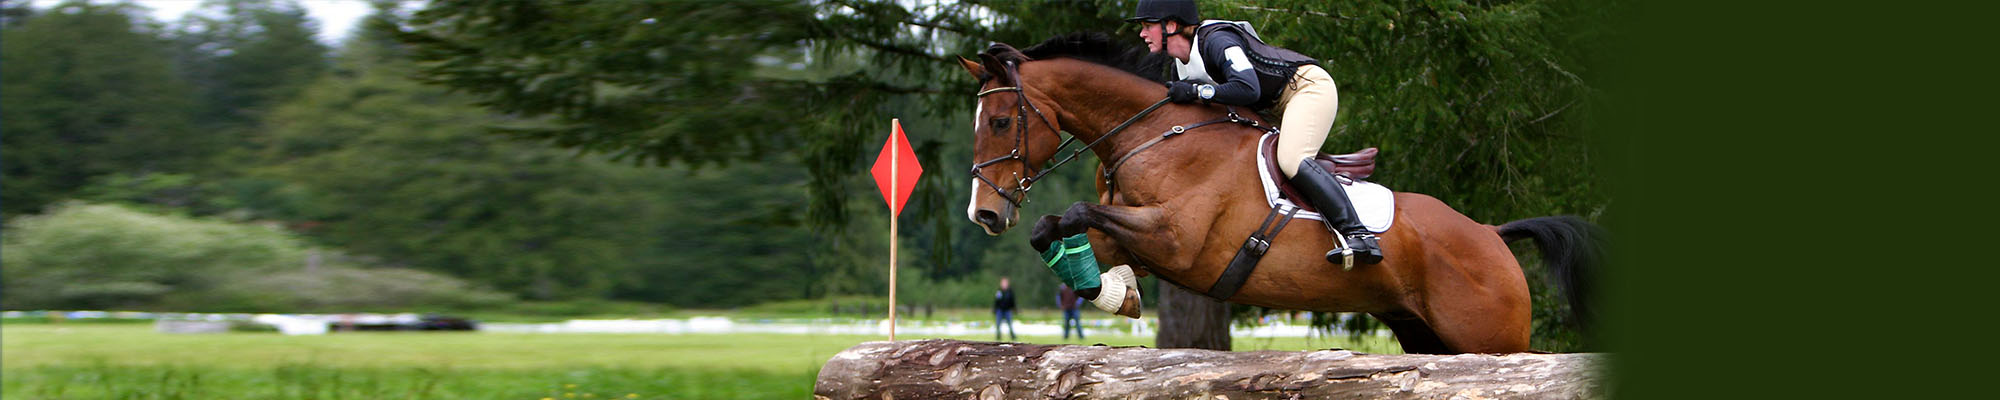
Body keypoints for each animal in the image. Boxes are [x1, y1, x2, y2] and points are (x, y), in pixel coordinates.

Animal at [960, 34, 1600, 354]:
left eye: (1000, 122)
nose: (984, 213)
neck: (1150, 133)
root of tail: (1492, 235)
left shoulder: (1177, 240)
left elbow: (1072, 212)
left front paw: (1115, 294)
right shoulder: (1137, 235)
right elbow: (1061, 230)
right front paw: (1117, 294)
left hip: (1490, 339)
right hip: (1424, 334)